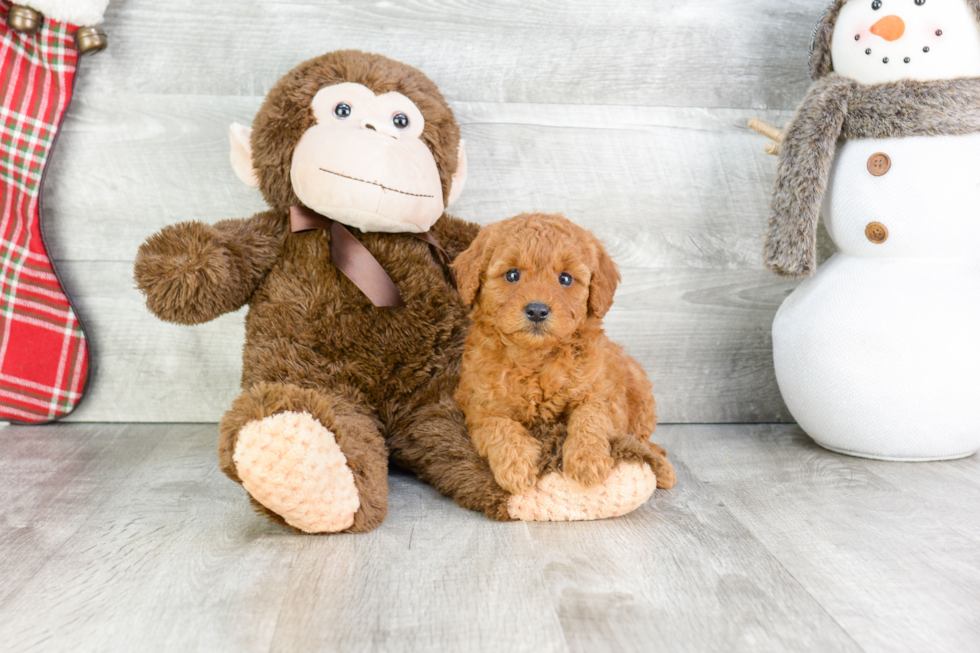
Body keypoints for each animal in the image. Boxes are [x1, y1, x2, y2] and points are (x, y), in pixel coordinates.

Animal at [454, 211, 672, 496]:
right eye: (512, 275)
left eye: (565, 279)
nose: (537, 310)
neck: (536, 359)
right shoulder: (480, 406)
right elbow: (499, 427)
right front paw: (516, 466)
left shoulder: (601, 393)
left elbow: (590, 416)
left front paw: (588, 460)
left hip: (640, 388)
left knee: (642, 439)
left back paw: (662, 465)